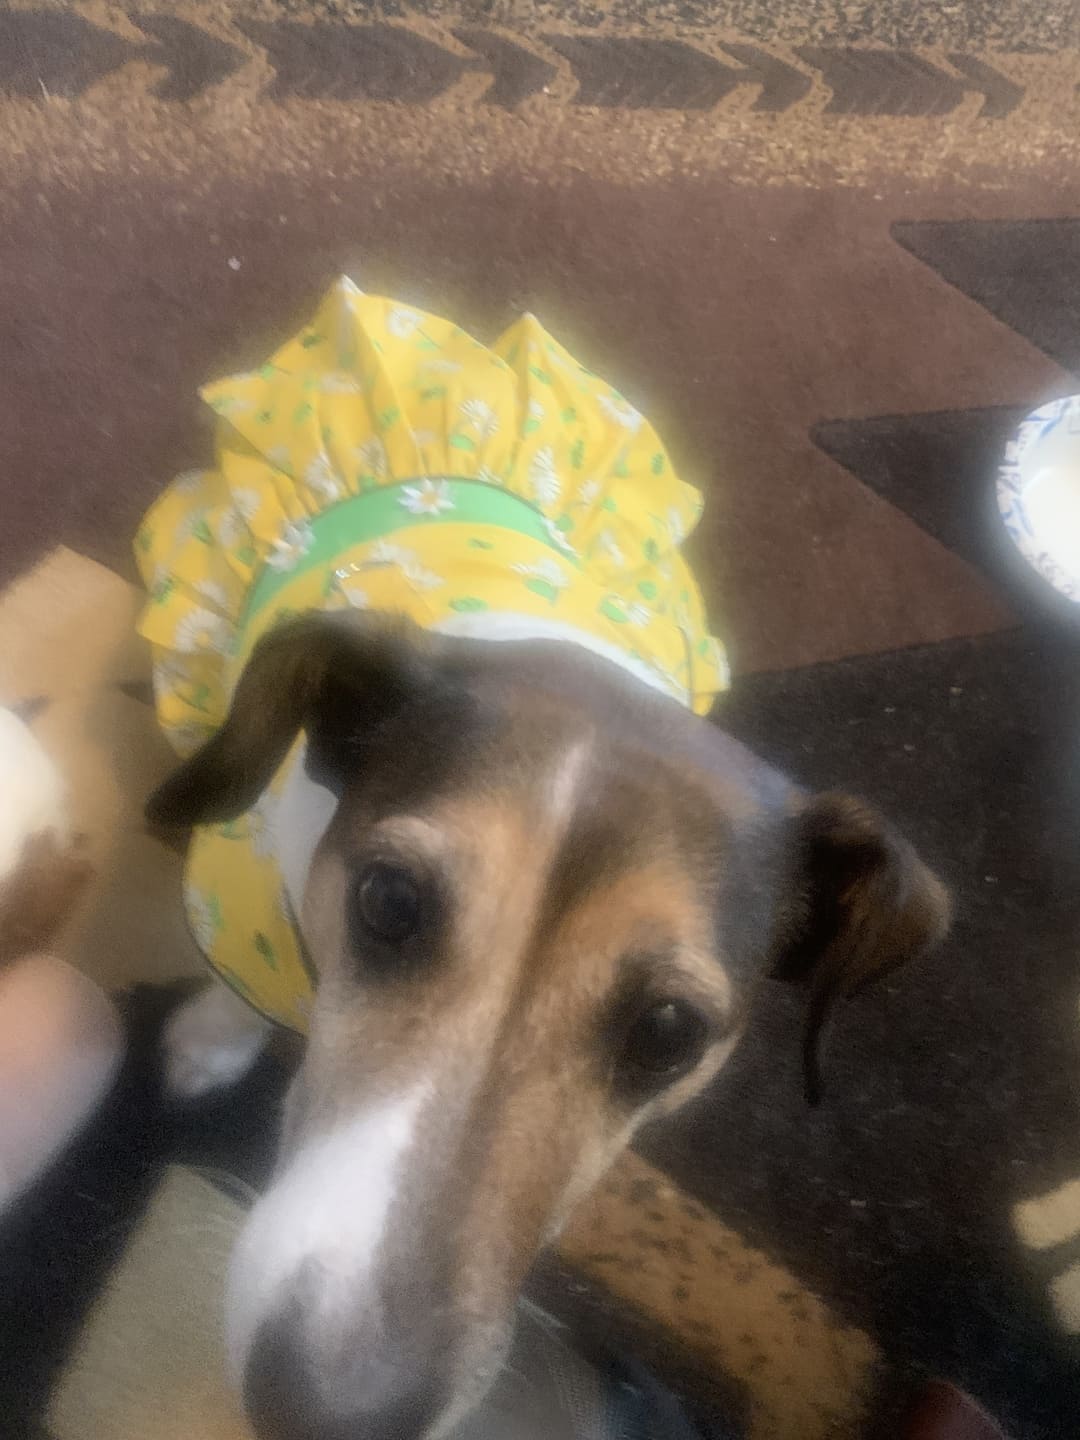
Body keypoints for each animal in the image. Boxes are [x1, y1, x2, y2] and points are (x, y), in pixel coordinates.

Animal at [139, 283, 950, 1440]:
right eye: (389, 901)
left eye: (670, 1030)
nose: (331, 1412)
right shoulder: (237, 898)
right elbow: (229, 991)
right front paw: (209, 1042)